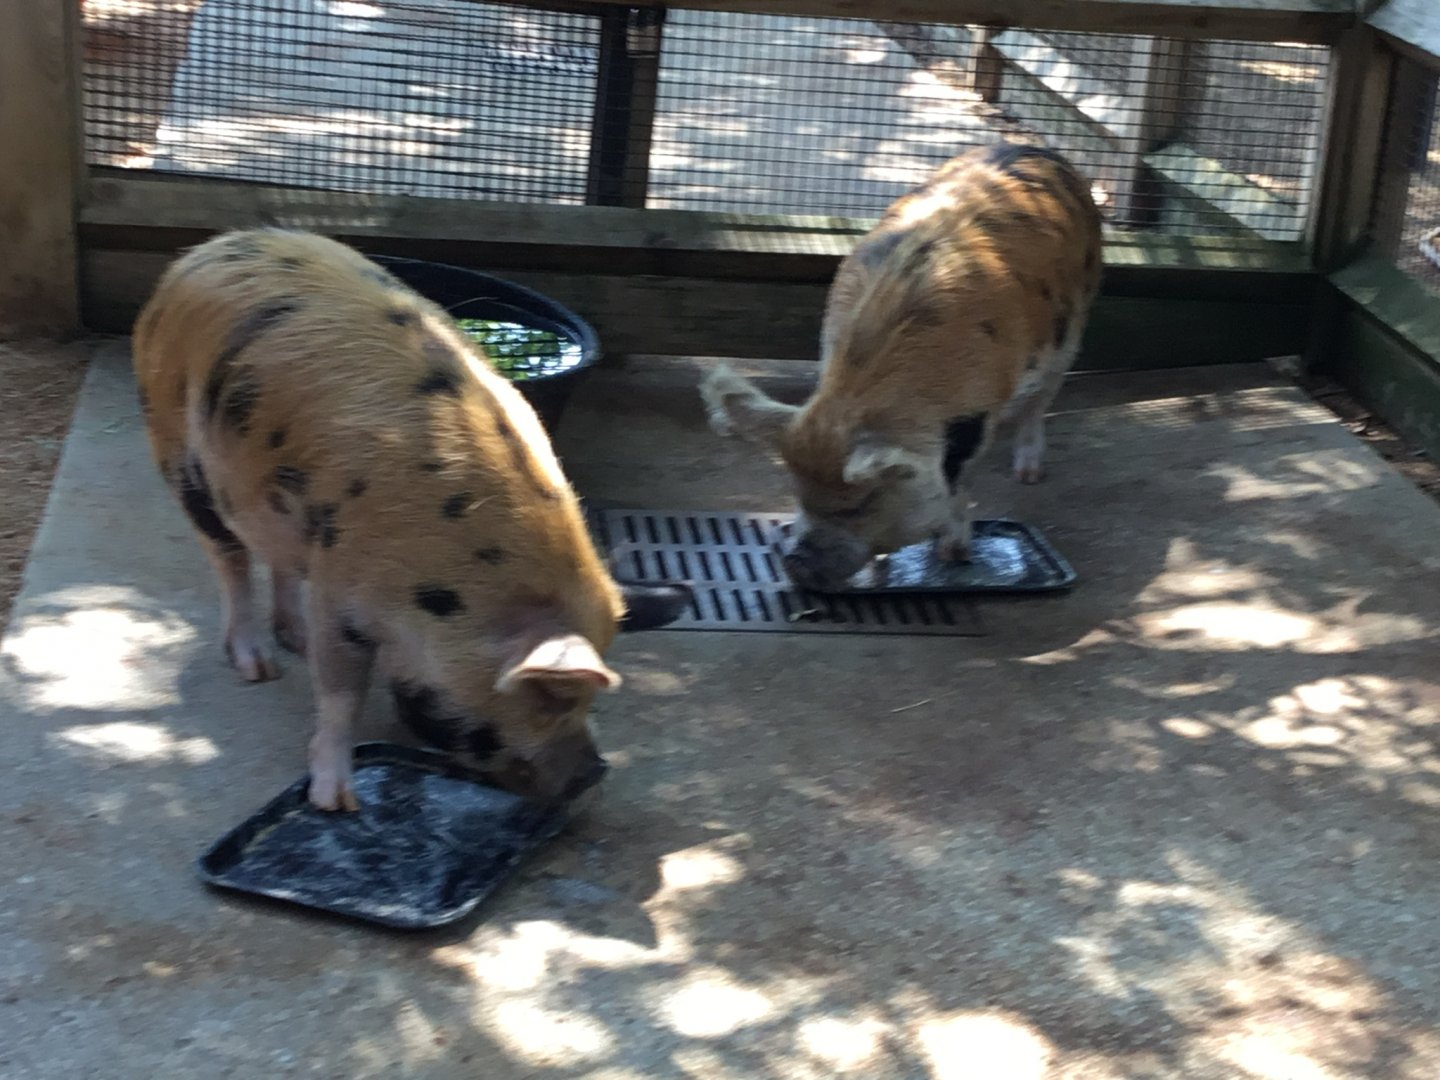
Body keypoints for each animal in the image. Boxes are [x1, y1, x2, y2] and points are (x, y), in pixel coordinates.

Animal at [132, 227, 685, 811]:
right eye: (551, 697)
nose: (594, 772)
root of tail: (209, 249)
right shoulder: (340, 581)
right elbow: (341, 689)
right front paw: (337, 801)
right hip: (175, 446)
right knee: (231, 562)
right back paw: (258, 667)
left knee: (275, 559)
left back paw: (294, 640)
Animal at [699, 143, 1103, 591]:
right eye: (798, 496)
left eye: (859, 504)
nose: (794, 563)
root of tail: (1039, 149)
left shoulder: (974, 417)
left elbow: (958, 483)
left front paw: (953, 555)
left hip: (1077, 318)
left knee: (1041, 399)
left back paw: (1028, 474)